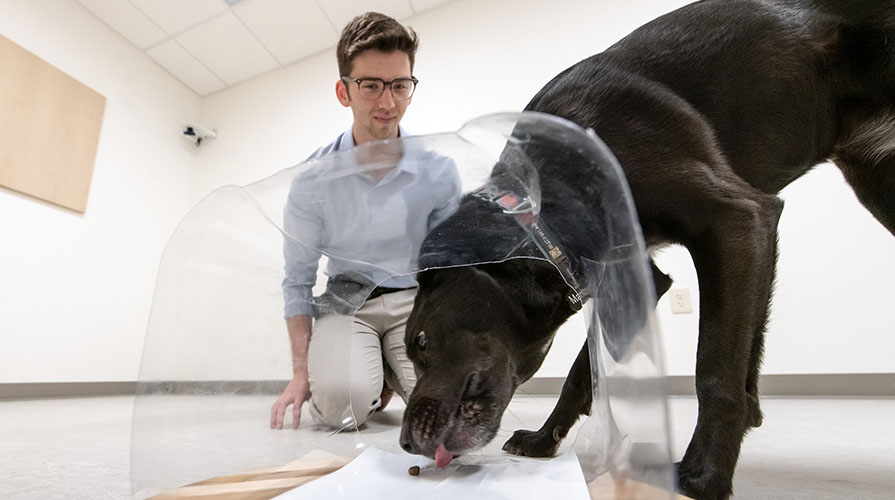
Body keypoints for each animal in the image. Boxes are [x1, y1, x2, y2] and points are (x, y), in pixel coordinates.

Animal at [400, 1, 895, 498]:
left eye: (420, 341)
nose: (403, 442)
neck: (547, 198)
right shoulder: (638, 274)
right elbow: (583, 373)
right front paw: (545, 439)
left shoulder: (737, 219)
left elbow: (715, 369)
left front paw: (703, 475)